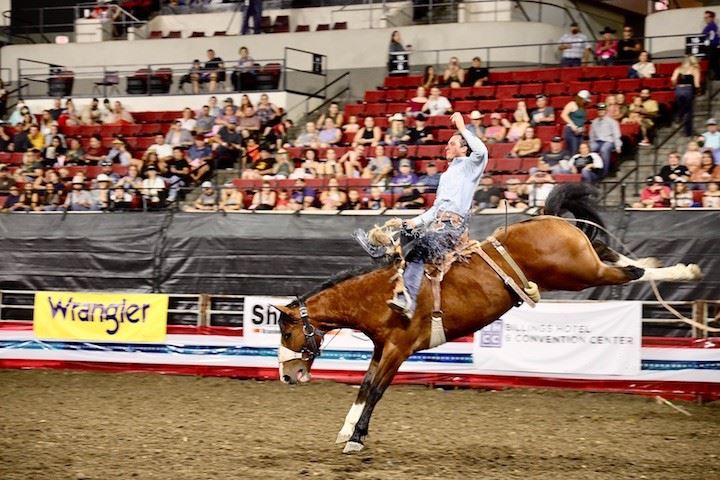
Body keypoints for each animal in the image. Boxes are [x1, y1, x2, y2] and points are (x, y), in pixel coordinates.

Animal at [274, 184, 704, 454]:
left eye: (288, 332)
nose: (286, 376)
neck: (380, 295)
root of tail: (545, 218)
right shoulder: (382, 348)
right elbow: (363, 388)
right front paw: (346, 430)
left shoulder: (398, 349)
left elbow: (376, 390)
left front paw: (356, 439)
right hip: (581, 264)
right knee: (617, 257)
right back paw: (669, 266)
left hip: (578, 273)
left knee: (631, 272)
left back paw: (685, 272)